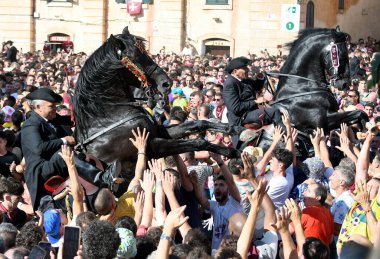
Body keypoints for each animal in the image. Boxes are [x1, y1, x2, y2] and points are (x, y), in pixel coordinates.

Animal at [72, 26, 242, 173]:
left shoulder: (160, 132)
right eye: (135, 57)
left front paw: (232, 129)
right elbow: (198, 142)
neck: (107, 119)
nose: (167, 83)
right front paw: (232, 152)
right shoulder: (152, 146)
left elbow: (198, 123)